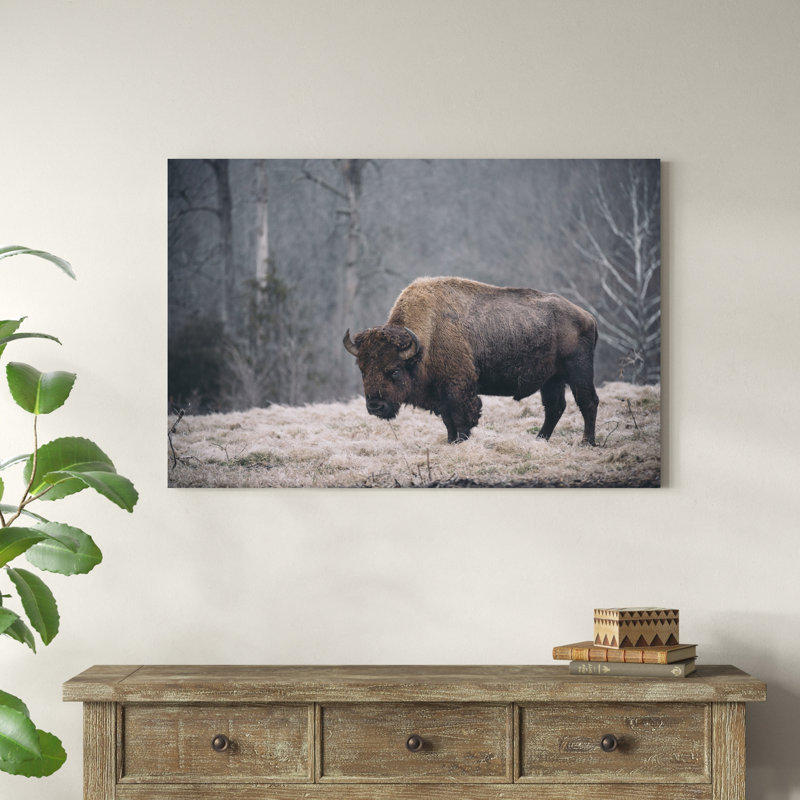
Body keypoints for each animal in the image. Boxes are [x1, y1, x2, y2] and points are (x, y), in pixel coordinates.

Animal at [343, 276, 599, 445]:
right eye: (363, 370)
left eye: (395, 370)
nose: (375, 406)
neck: (427, 339)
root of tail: (588, 317)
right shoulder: (441, 397)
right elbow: (449, 423)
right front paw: (450, 442)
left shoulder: (459, 390)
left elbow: (462, 420)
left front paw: (460, 443)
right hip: (552, 380)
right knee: (554, 408)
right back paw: (539, 439)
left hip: (578, 372)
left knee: (588, 402)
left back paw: (586, 442)